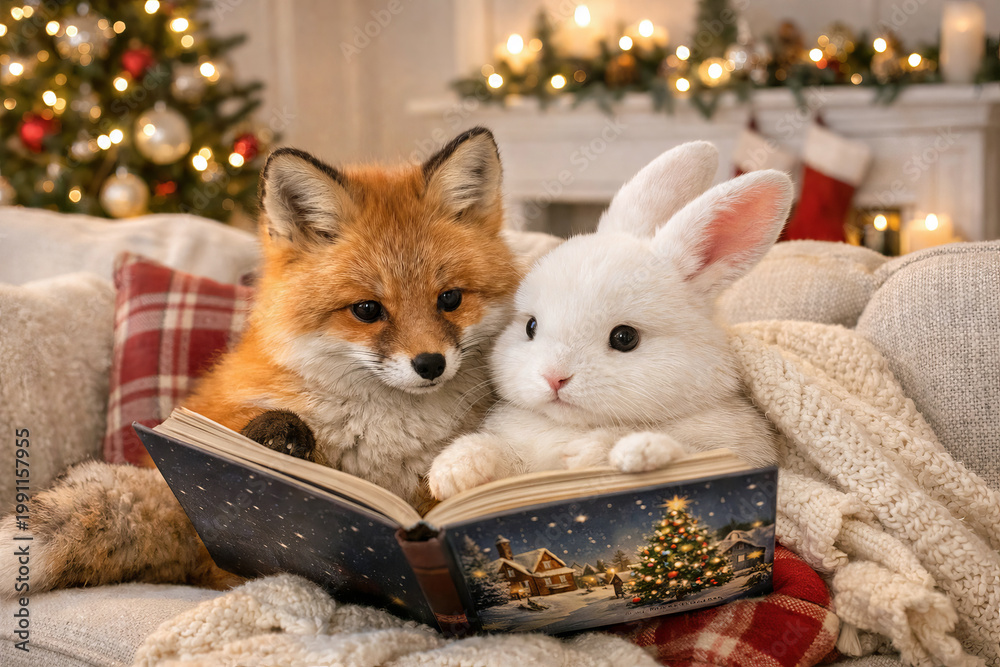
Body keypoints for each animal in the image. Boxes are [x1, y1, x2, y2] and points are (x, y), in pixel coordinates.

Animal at [427, 141, 793, 501]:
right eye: (531, 326)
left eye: (625, 338)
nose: (554, 378)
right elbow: (493, 450)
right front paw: (450, 475)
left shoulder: (732, 455)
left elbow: (683, 453)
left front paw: (621, 452)